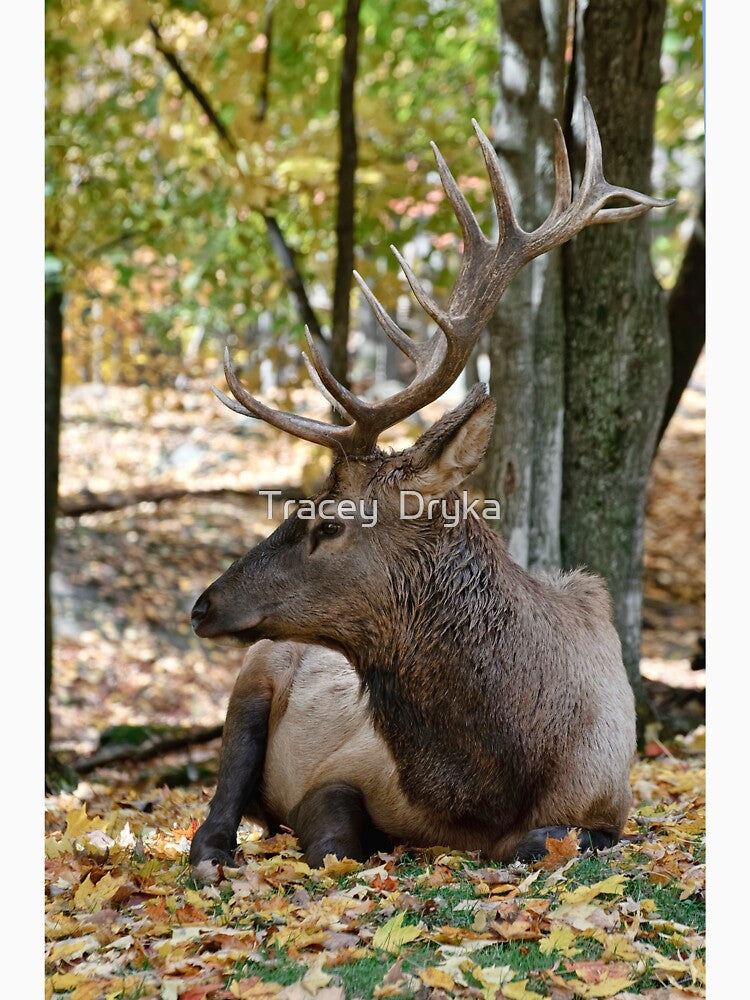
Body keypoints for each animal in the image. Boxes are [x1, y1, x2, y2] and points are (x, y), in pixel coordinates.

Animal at [189, 99, 670, 871]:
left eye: (330, 522)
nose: (203, 605)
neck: (494, 777)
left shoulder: (610, 803)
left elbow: (552, 838)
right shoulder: (341, 770)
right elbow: (335, 841)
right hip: (253, 678)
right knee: (217, 804)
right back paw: (216, 852)